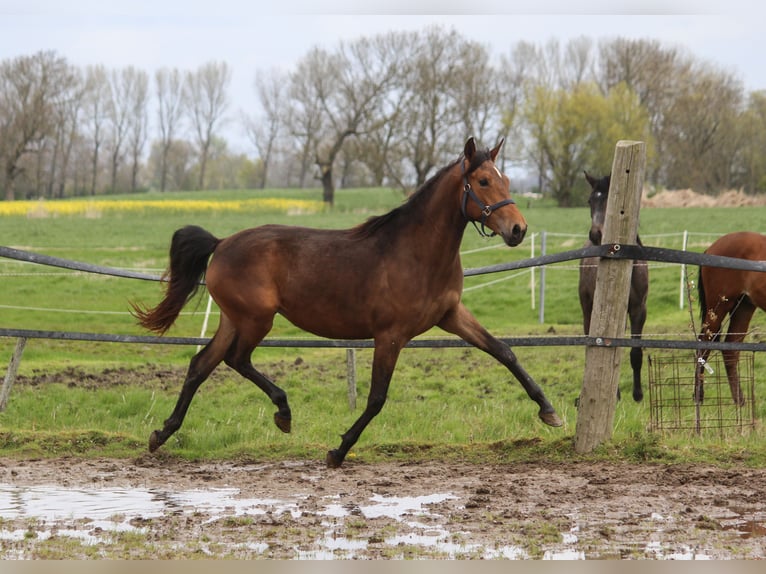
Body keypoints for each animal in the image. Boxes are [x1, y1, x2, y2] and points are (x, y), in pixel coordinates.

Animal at [132, 138, 564, 468]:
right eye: (483, 180)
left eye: (506, 179)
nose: (518, 229)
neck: (416, 254)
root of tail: (221, 244)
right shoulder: (390, 335)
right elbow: (376, 398)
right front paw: (338, 452)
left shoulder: (451, 315)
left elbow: (504, 351)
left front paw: (549, 412)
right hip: (256, 319)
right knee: (235, 360)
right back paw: (283, 412)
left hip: (234, 319)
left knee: (201, 365)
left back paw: (162, 433)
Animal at [584, 173, 648, 402]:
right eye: (590, 201)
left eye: (610, 200)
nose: (595, 234)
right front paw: (618, 394)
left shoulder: (639, 310)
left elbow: (636, 352)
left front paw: (638, 395)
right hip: (587, 308)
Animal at [696, 232, 766, 408]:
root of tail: (710, 249)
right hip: (718, 308)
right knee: (703, 346)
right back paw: (698, 397)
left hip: (743, 307)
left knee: (730, 350)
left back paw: (740, 402)